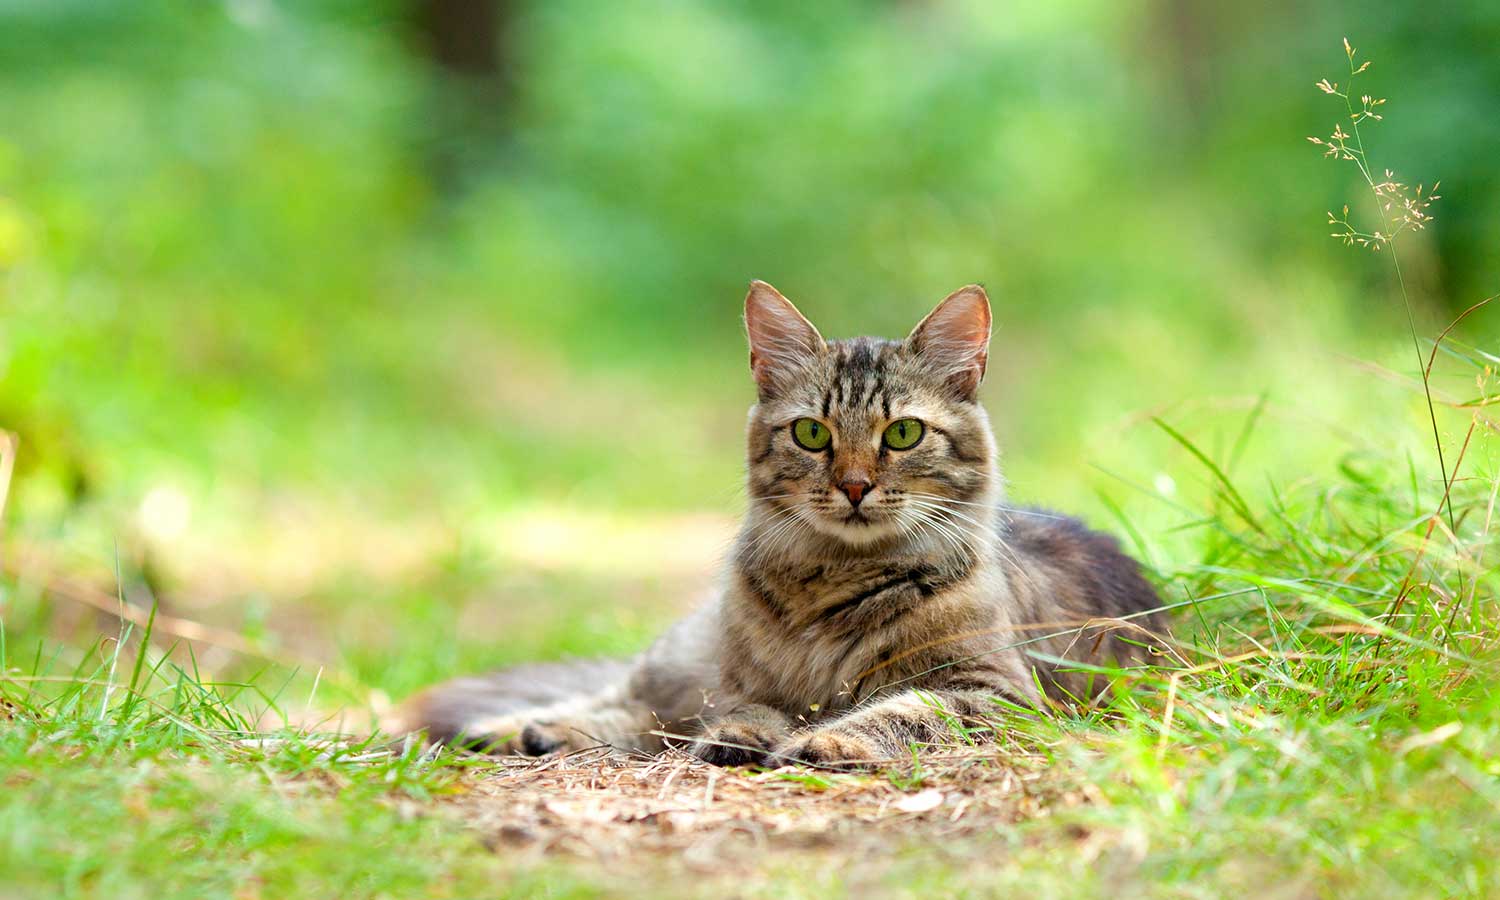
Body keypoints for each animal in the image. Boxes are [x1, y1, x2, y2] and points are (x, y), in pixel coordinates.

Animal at [393, 282, 1164, 765]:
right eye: (812, 434)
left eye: (904, 433)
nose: (853, 486)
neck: (834, 583)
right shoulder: (741, 684)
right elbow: (748, 712)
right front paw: (746, 737)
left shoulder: (992, 690)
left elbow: (903, 709)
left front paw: (830, 739)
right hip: (684, 660)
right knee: (626, 700)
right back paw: (518, 730)